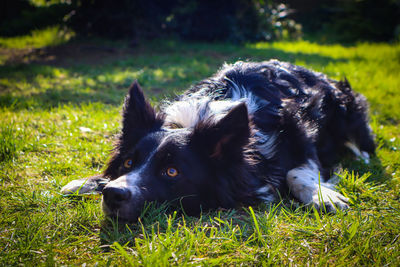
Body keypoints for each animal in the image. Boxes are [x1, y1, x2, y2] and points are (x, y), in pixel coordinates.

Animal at [60, 60, 376, 222]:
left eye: (172, 171)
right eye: (128, 162)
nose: (113, 195)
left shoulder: (301, 136)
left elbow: (298, 171)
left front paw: (322, 195)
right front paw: (87, 182)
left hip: (347, 107)